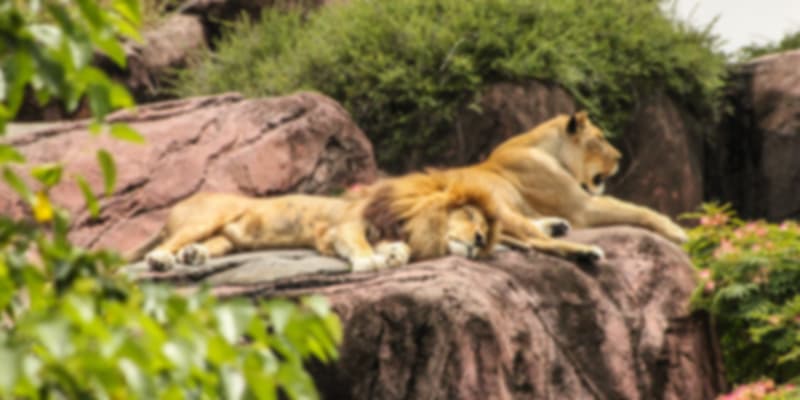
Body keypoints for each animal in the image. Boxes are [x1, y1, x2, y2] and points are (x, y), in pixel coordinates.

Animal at [128, 171, 503, 272]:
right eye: (471, 216)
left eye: (485, 231)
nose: (480, 240)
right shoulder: (345, 226)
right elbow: (361, 245)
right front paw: (369, 261)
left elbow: (397, 248)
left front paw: (395, 254)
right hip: (206, 217)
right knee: (166, 243)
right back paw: (161, 260)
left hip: (227, 239)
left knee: (204, 246)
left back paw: (194, 256)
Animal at [431, 110, 688, 248]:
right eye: (600, 139)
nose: (620, 157)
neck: (550, 151)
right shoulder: (582, 208)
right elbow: (639, 210)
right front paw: (677, 232)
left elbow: (634, 207)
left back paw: (555, 226)